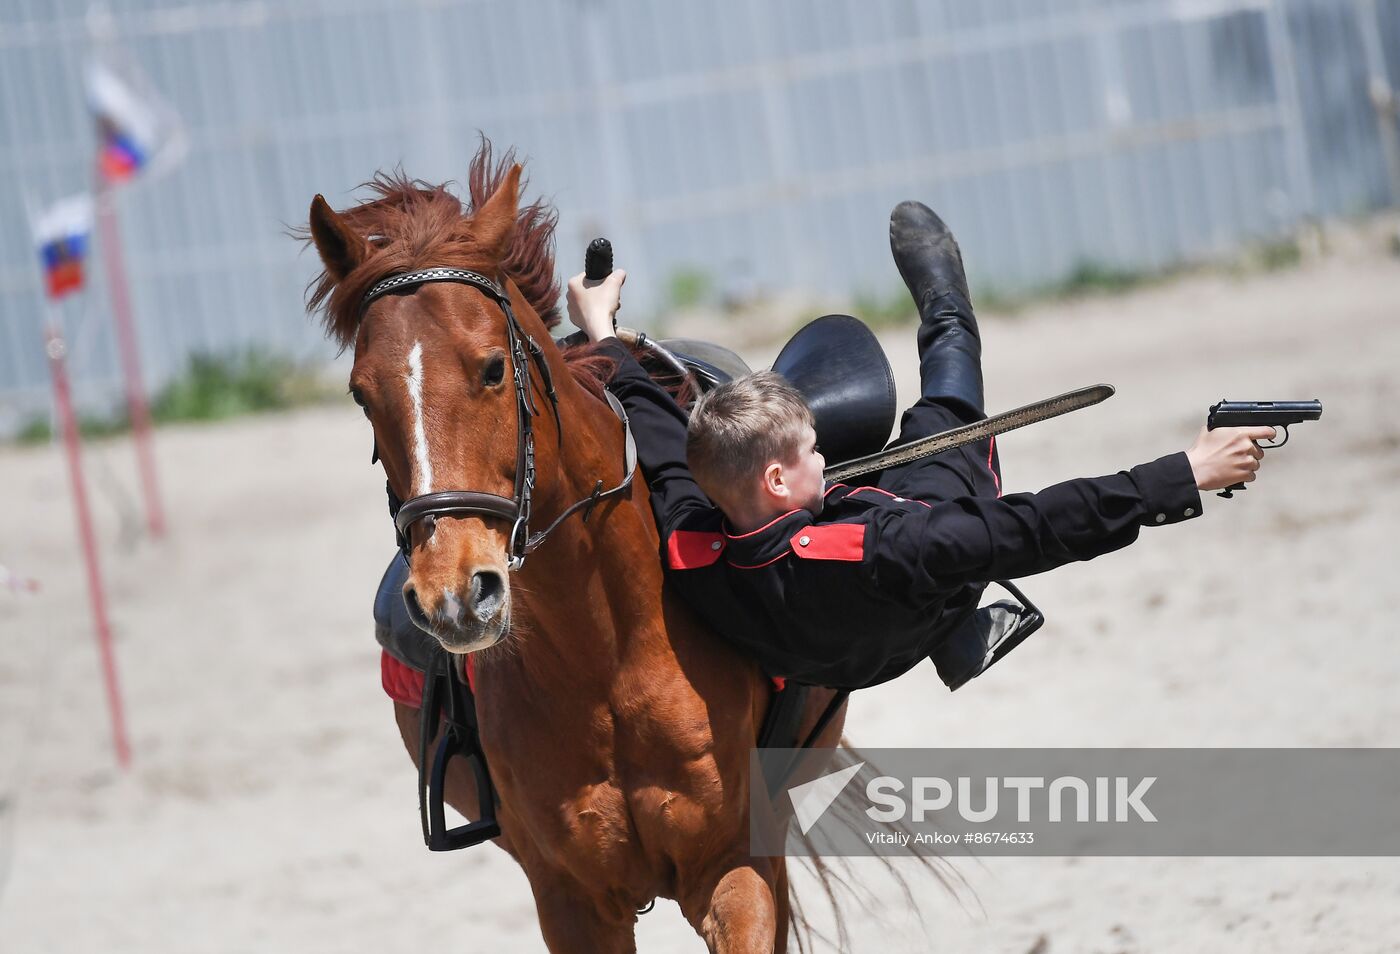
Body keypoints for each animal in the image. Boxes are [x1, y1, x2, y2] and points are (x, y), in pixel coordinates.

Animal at [305, 143, 851, 952]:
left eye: (492, 367)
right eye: (362, 394)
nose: (454, 595)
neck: (607, 655)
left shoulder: (738, 867)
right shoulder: (572, 902)